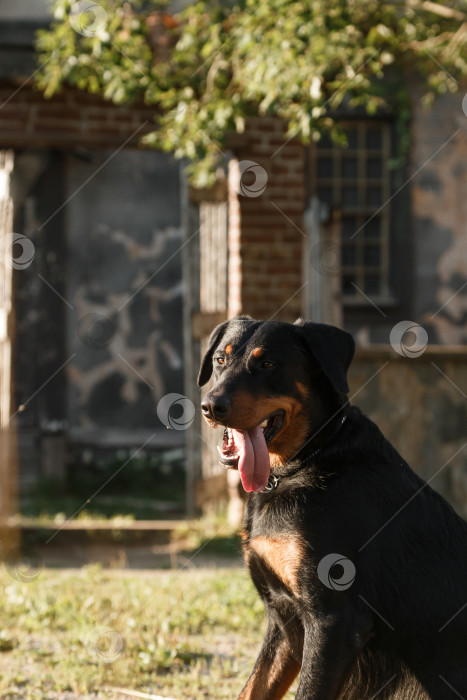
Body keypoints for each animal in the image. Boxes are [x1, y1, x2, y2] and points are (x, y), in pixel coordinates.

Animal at [197, 318, 467, 700]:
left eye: (268, 364)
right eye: (220, 359)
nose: (210, 406)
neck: (309, 457)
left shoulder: (332, 622)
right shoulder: (283, 620)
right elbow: (253, 689)